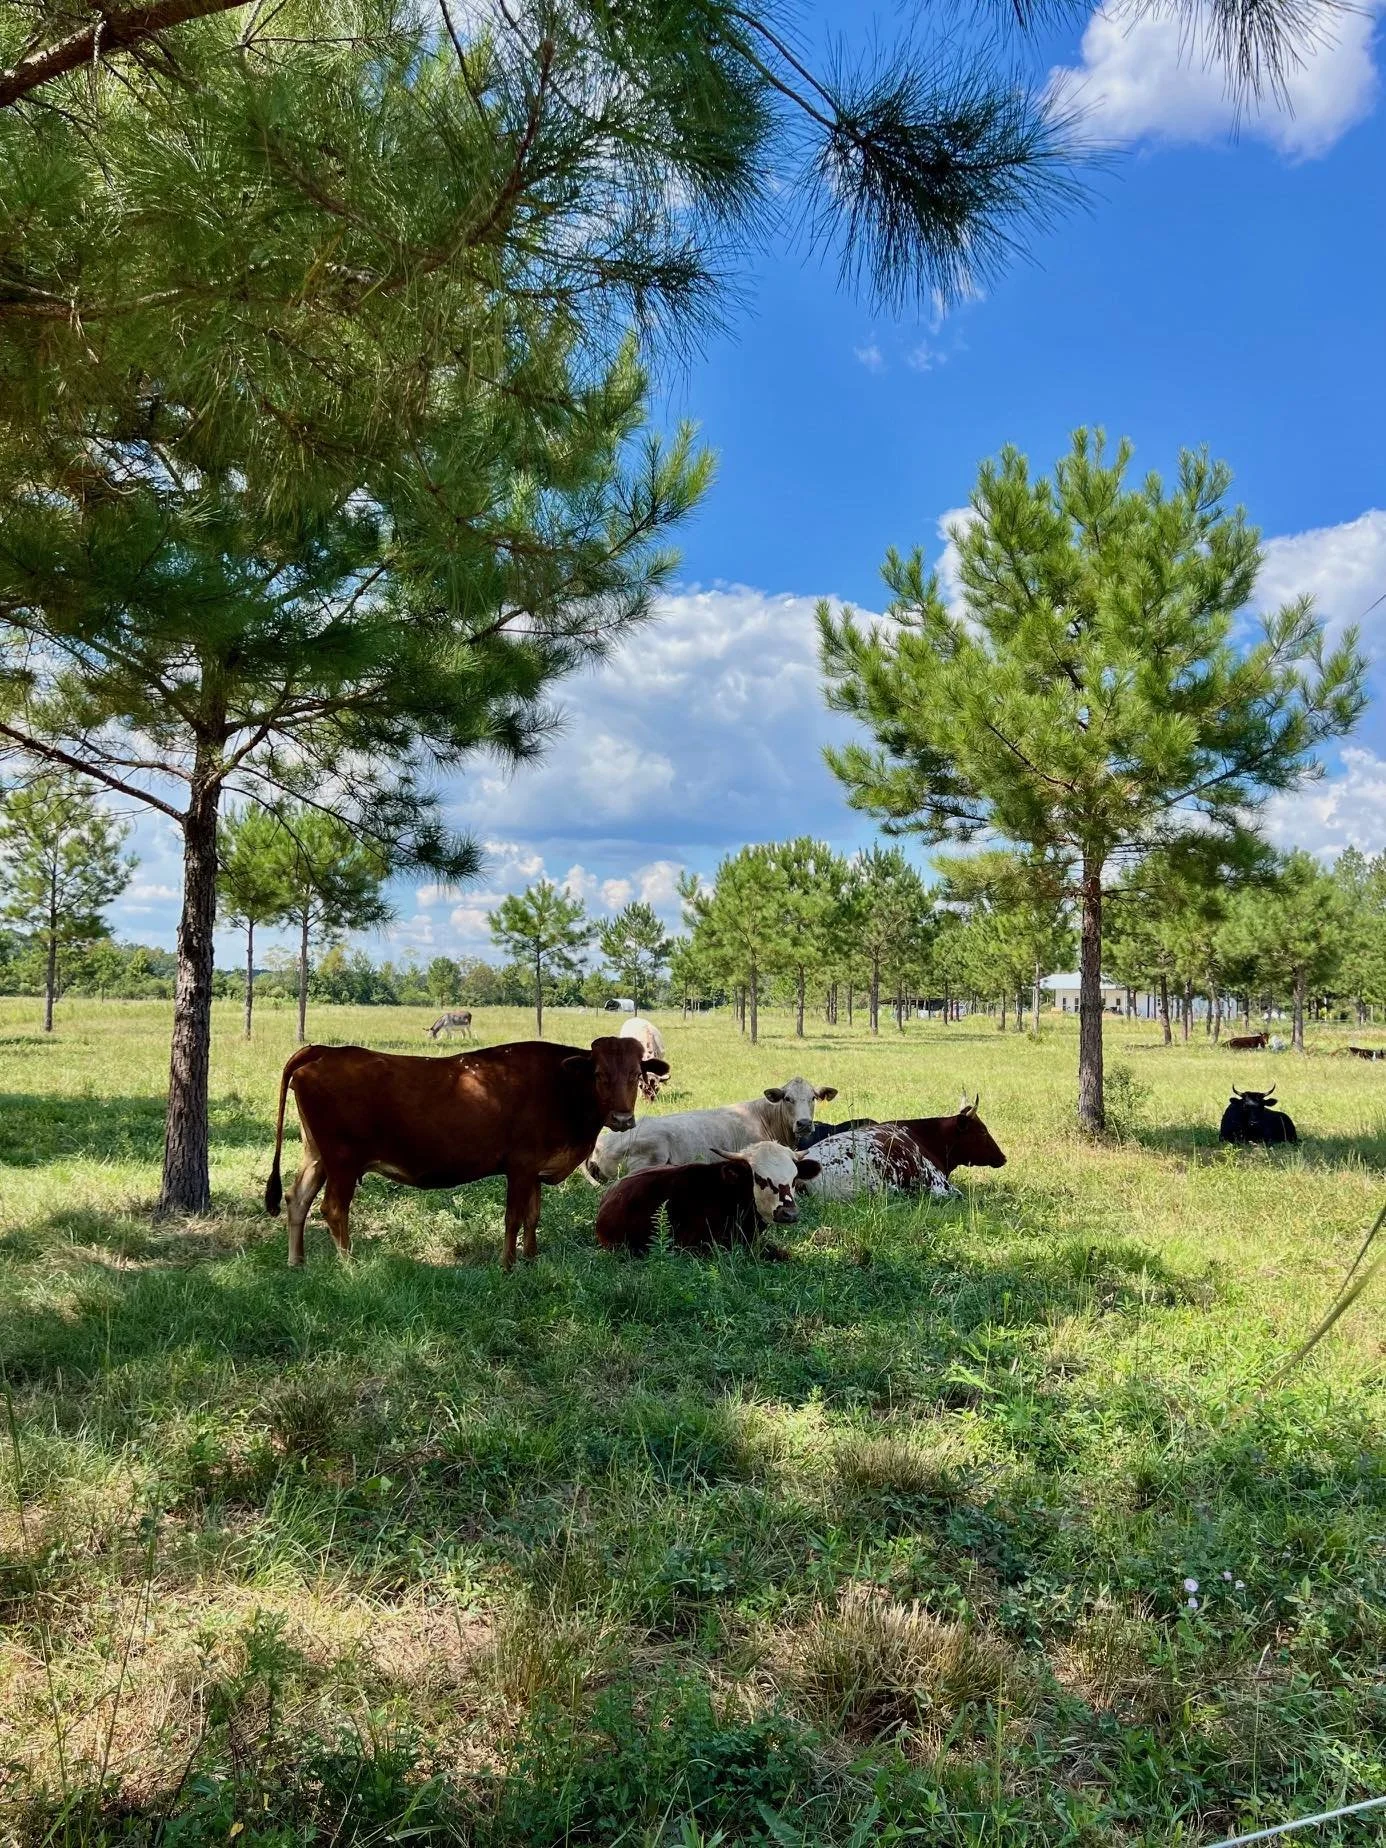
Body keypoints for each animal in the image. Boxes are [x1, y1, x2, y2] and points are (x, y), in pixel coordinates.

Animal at [264, 1036, 669, 1270]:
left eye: (636, 1074)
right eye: (599, 1074)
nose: (622, 1118)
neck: (561, 1087)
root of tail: (323, 1052)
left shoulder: (536, 1171)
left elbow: (533, 1217)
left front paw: (531, 1259)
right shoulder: (520, 1166)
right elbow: (513, 1219)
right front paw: (507, 1266)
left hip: (317, 1155)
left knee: (297, 1199)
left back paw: (297, 1263)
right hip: (343, 1161)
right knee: (332, 1209)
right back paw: (350, 1267)